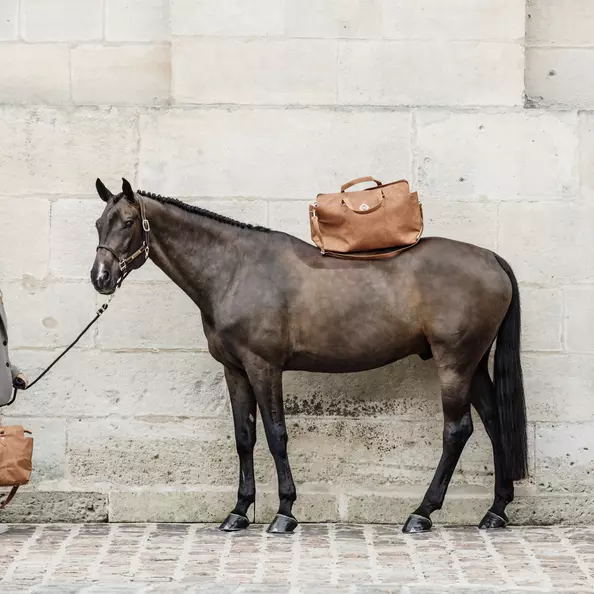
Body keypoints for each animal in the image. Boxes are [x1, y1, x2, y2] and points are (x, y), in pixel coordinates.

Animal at [90, 178, 524, 536]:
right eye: (98, 224)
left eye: (128, 222)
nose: (101, 278)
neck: (234, 270)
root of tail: (491, 258)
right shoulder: (235, 370)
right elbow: (244, 437)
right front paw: (239, 512)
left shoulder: (264, 367)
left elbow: (275, 434)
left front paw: (284, 513)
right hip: (473, 365)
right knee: (493, 422)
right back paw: (495, 511)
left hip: (454, 364)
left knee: (457, 431)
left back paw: (422, 513)